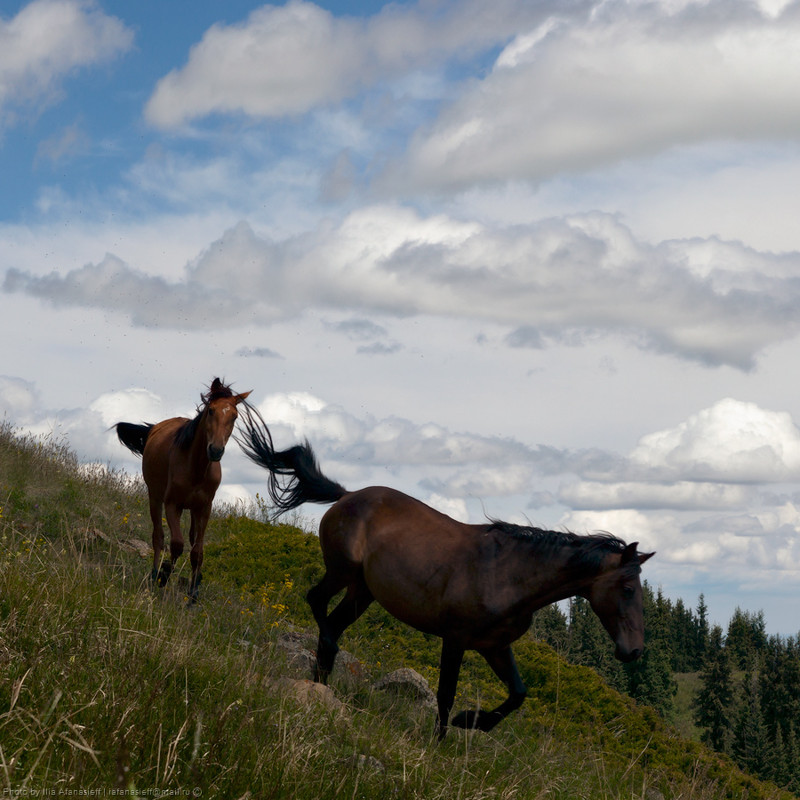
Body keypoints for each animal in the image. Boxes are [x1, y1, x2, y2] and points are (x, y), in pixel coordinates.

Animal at [115, 380, 250, 600]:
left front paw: (193, 592)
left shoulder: (204, 509)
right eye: (211, 410)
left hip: (192, 509)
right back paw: (155, 574)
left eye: (234, 416)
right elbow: (176, 544)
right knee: (159, 537)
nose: (216, 450)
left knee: (192, 539)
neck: (196, 467)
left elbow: (197, 551)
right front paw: (164, 575)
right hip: (155, 497)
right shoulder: (172, 504)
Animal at [238, 416, 656, 740]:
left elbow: (518, 693)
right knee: (317, 604)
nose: (634, 651)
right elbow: (445, 694)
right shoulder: (455, 639)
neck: (509, 575)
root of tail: (347, 495)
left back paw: (320, 684)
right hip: (343, 571)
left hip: (363, 591)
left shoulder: (494, 646)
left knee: (332, 622)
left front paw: (472, 722)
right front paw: (441, 741)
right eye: (627, 588)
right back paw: (326, 656)